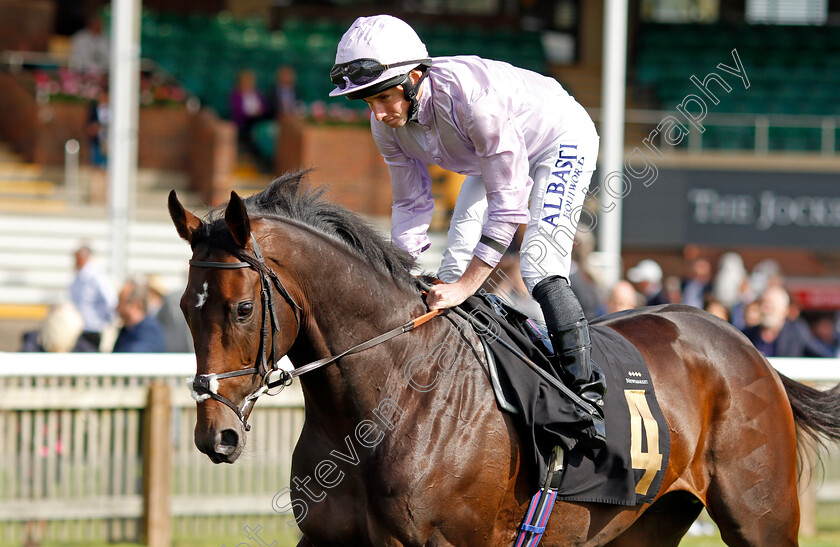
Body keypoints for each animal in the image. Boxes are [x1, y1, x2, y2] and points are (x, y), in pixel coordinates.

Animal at [169, 173, 840, 544]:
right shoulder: (326, 539)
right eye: (183, 306)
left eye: (241, 309)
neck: (390, 398)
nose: (215, 434)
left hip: (762, 517)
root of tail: (744, 344)